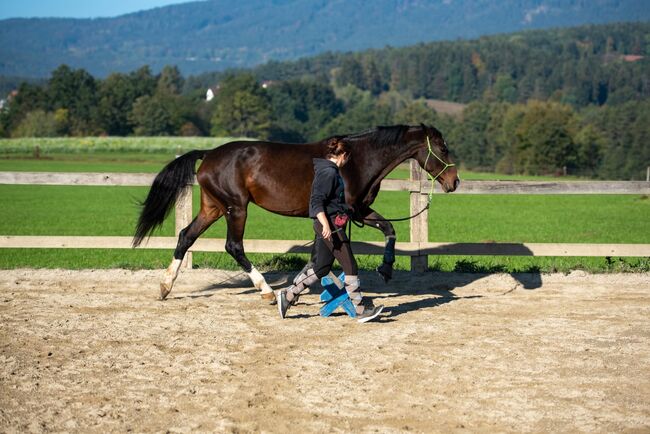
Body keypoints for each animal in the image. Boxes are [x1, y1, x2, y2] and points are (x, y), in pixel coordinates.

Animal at [132, 124, 458, 300]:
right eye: (443, 149)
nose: (454, 182)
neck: (356, 161)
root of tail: (208, 154)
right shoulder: (341, 214)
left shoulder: (358, 211)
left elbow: (390, 229)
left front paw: (387, 268)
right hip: (236, 208)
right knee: (233, 246)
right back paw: (265, 290)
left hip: (213, 207)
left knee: (186, 236)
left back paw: (164, 287)